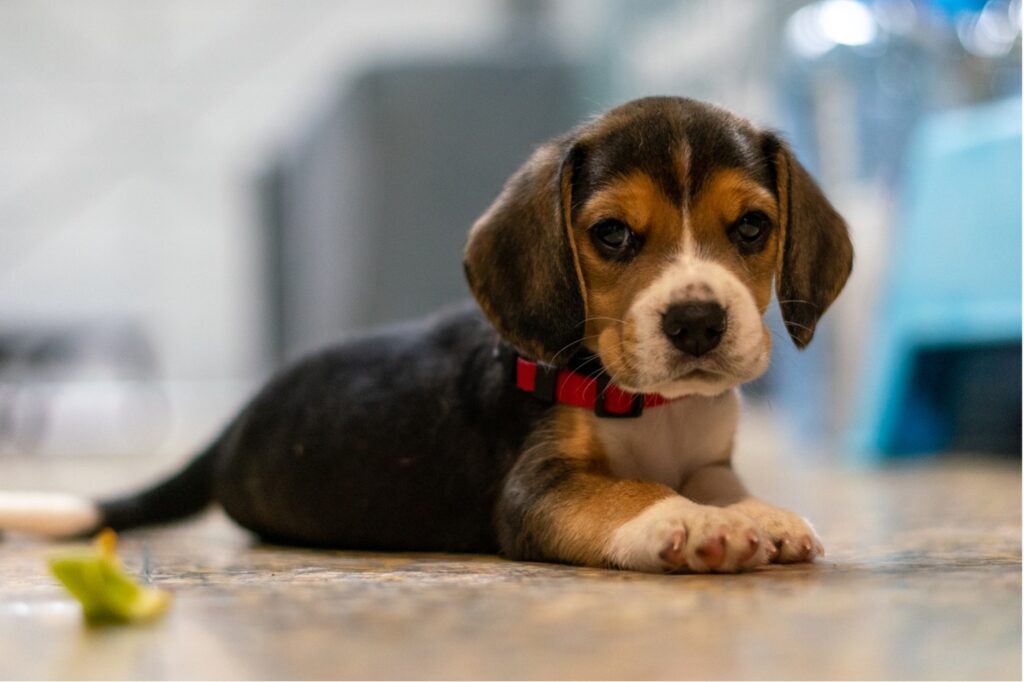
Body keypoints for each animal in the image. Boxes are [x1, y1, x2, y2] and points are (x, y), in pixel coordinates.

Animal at [0, 95, 851, 569]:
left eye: (752, 227)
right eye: (611, 235)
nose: (698, 321)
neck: (651, 407)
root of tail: (236, 423)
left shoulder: (706, 451)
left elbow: (720, 480)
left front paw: (760, 514)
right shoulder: (534, 488)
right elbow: (626, 493)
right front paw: (687, 523)